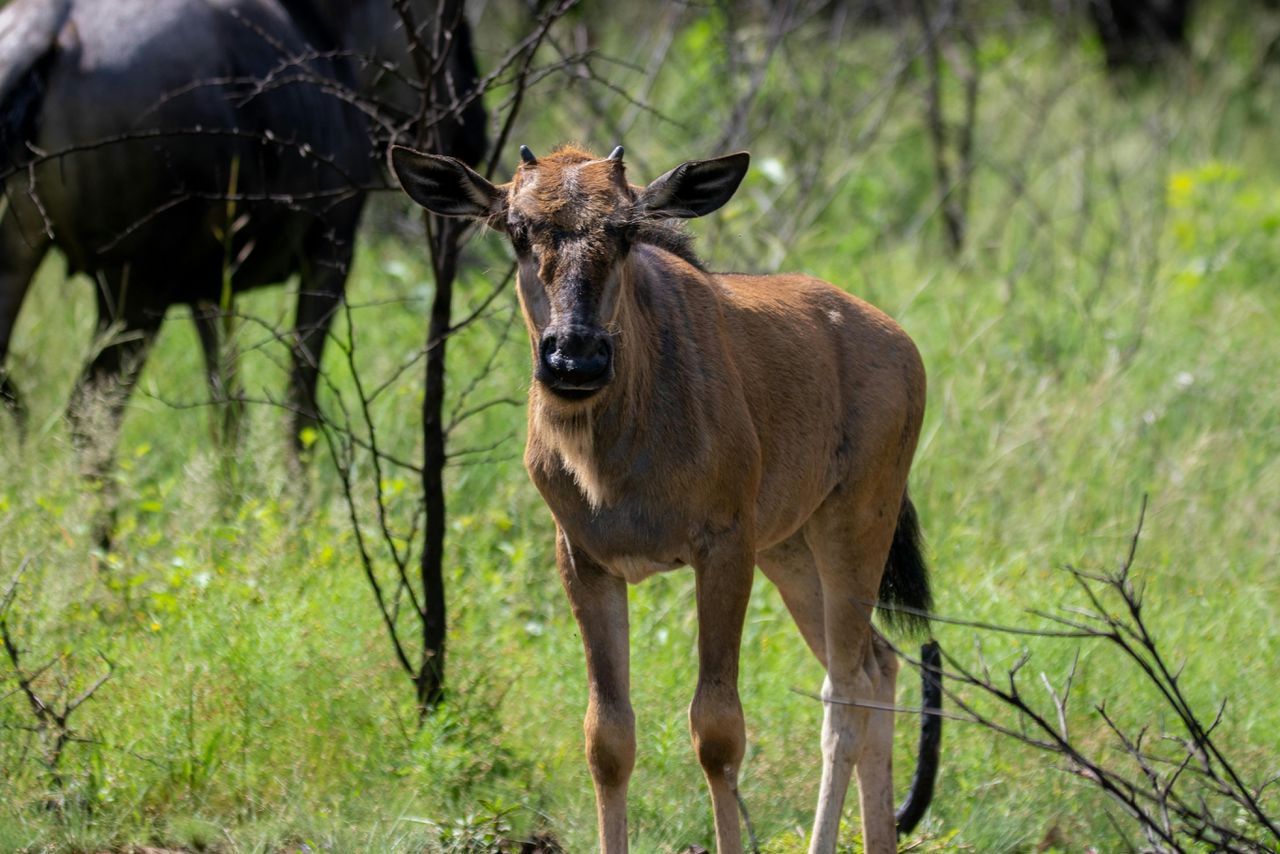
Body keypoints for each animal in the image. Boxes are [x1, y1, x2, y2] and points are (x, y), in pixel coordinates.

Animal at [389, 143, 942, 850]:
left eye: (626, 231)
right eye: (516, 230)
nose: (575, 360)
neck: (617, 445)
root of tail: (898, 342)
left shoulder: (723, 549)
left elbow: (718, 732)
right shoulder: (586, 562)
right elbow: (607, 738)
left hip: (853, 525)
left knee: (846, 688)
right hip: (791, 549)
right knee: (878, 664)